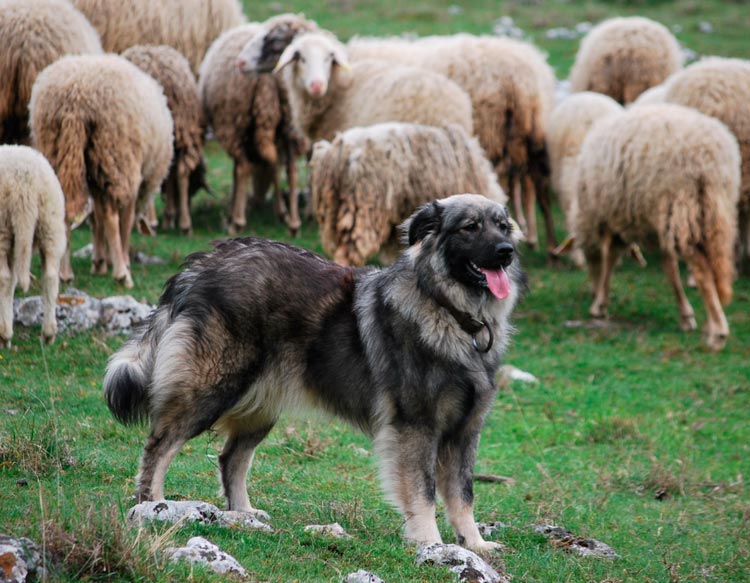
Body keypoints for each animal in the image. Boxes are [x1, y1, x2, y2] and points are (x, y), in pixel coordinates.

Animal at [0, 145, 66, 347]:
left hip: (2, 229)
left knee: (4, 278)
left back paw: (4, 335)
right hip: (50, 224)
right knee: (50, 277)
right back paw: (48, 334)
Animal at [29, 54, 173, 289]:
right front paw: (120, 260)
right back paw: (123, 275)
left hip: (58, 149)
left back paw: (65, 273)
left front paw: (99, 262)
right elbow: (124, 221)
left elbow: (95, 218)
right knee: (111, 216)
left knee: (65, 210)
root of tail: (75, 97)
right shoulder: (131, 177)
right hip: (114, 155)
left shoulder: (96, 177)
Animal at [201, 15, 317, 235]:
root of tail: (268, 80)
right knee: (289, 168)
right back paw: (293, 222)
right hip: (287, 125)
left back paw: (237, 221)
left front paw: (233, 215)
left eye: (275, 40)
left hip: (235, 122)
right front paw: (284, 213)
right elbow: (279, 168)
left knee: (243, 166)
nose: (240, 62)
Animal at [574, 104, 740, 351]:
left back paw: (718, 333)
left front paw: (599, 304)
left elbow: (611, 257)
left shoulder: (615, 217)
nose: (591, 291)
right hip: (714, 210)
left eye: (588, 257)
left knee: (701, 268)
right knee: (716, 265)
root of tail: (709, 155)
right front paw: (686, 316)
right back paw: (712, 323)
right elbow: (669, 267)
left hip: (681, 205)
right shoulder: (647, 223)